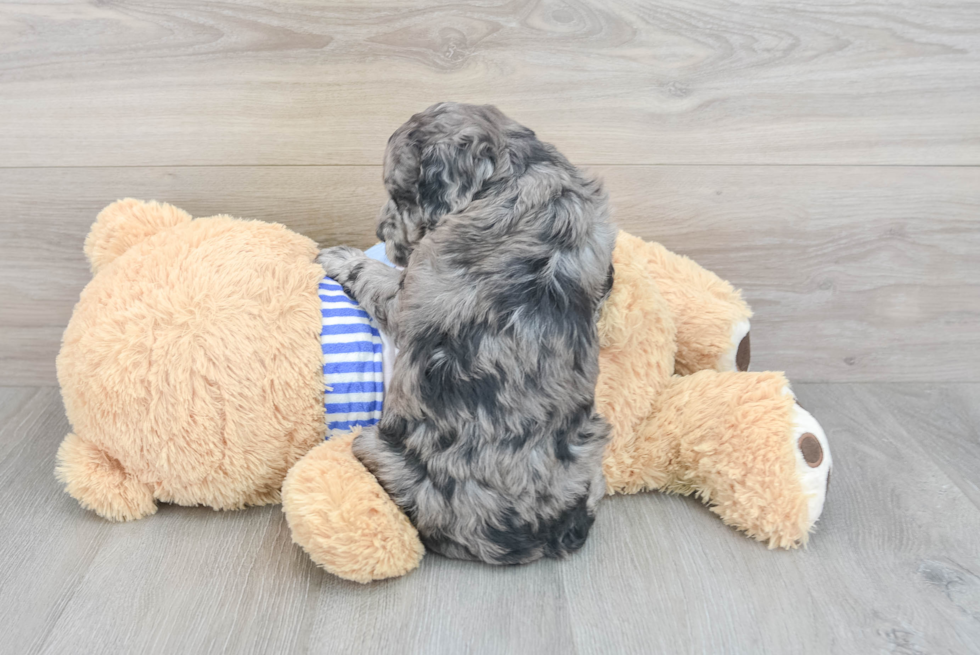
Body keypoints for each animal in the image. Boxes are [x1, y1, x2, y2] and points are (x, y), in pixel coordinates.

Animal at [318, 101, 616, 564]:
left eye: (400, 196)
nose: (380, 232)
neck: (519, 168)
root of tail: (544, 532)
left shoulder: (407, 294)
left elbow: (376, 278)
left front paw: (341, 256)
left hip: (380, 450)